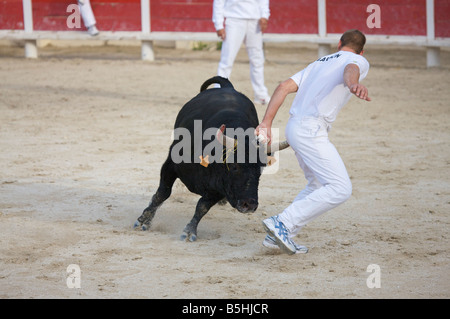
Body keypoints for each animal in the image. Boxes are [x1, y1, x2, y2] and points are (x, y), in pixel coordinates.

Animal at [134, 77, 288, 242]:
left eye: (261, 168)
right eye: (234, 166)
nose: (250, 205)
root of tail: (228, 87)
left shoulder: (220, 188)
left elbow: (202, 207)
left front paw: (189, 231)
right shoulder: (170, 165)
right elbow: (162, 193)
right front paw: (144, 220)